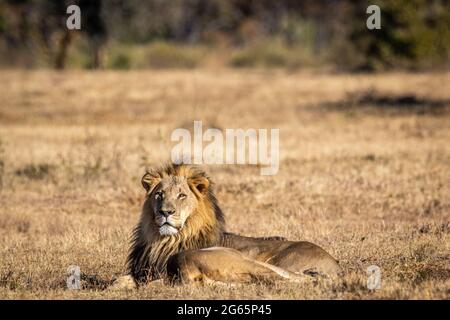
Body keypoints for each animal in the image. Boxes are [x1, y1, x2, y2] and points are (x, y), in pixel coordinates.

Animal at [110, 164, 340, 288]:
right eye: (159, 194)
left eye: (182, 195)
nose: (165, 212)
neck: (164, 241)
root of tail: (334, 263)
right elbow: (120, 280)